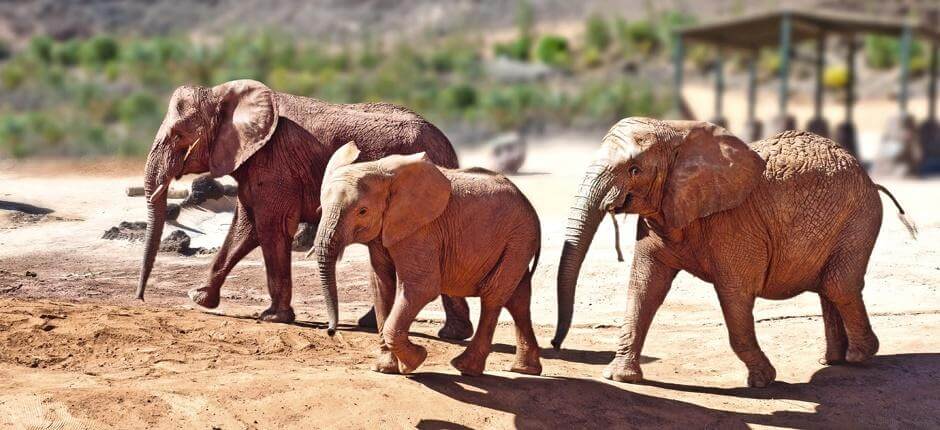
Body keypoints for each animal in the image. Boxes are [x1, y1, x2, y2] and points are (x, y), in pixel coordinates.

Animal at [133, 78, 474, 340]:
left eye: (179, 136)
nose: (140, 299)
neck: (223, 94)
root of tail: (449, 147)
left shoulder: (274, 164)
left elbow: (270, 228)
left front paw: (272, 317)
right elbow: (245, 228)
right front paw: (199, 298)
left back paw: (448, 334)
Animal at [310, 143, 540, 374]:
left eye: (362, 211)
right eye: (319, 209)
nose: (330, 331)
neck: (378, 169)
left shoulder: (421, 229)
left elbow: (421, 287)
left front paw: (415, 361)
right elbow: (381, 286)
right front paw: (385, 369)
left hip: (519, 237)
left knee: (493, 295)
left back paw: (465, 367)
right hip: (517, 242)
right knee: (518, 298)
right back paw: (524, 370)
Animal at [552, 116, 916, 386]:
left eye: (634, 170)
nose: (556, 344)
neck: (678, 133)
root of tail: (870, 178)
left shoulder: (734, 224)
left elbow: (734, 294)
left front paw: (763, 382)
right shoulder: (664, 213)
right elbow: (645, 287)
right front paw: (620, 377)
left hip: (859, 217)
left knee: (838, 284)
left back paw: (860, 356)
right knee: (829, 286)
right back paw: (832, 360)